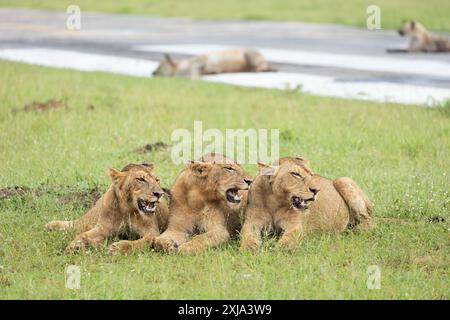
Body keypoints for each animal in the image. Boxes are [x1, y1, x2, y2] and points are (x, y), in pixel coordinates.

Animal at [239, 156, 372, 251]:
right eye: (296, 174)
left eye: (311, 175)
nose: (316, 190)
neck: (275, 202)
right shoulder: (252, 222)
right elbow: (247, 234)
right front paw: (249, 248)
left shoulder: (296, 225)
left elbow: (288, 239)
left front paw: (279, 248)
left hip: (344, 180)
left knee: (369, 220)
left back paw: (355, 230)